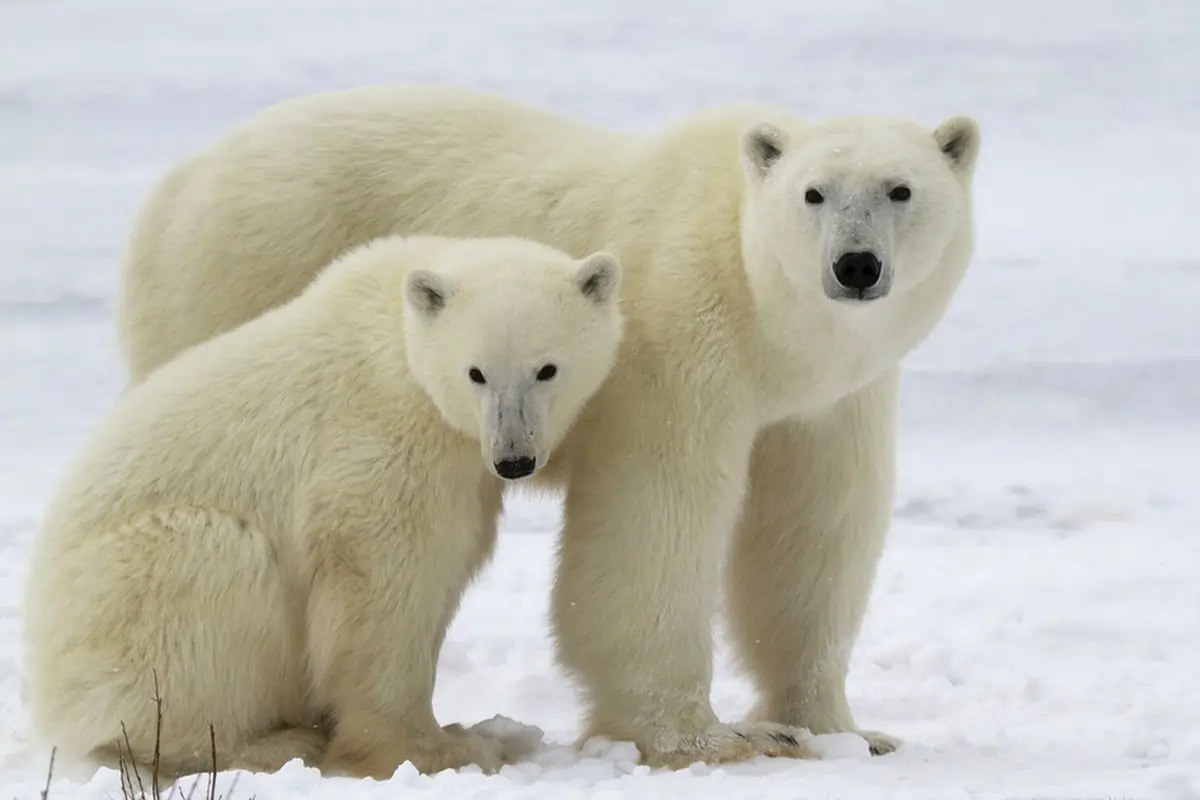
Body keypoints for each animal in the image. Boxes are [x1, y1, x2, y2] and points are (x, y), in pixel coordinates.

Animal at [112, 84, 979, 767]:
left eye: (901, 189)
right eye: (814, 194)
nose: (856, 266)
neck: (764, 318)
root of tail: (175, 183)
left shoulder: (829, 400)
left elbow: (814, 529)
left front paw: (843, 730)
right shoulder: (676, 345)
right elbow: (656, 523)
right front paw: (708, 740)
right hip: (243, 273)